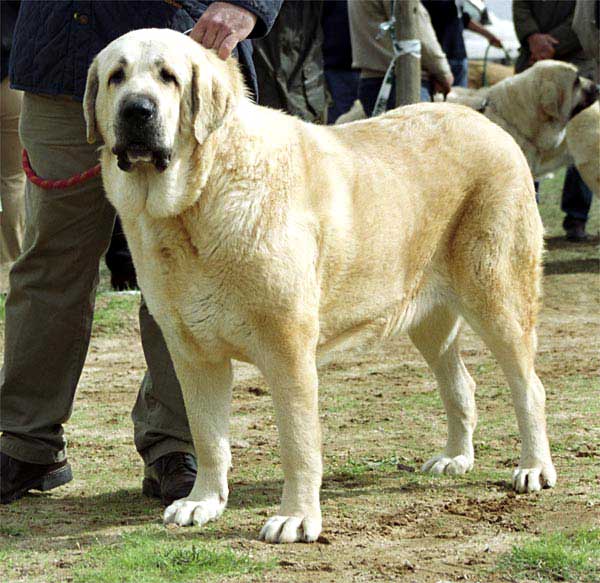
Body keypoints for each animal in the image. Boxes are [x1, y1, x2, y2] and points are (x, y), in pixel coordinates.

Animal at [85, 29, 556, 544]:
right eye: (116, 77)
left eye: (168, 76)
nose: (137, 109)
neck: (198, 203)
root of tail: (486, 123)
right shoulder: (193, 353)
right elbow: (208, 437)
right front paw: (202, 502)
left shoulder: (287, 350)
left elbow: (297, 442)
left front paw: (296, 517)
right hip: (429, 317)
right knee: (460, 384)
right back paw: (456, 457)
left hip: (497, 296)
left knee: (528, 387)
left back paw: (534, 468)